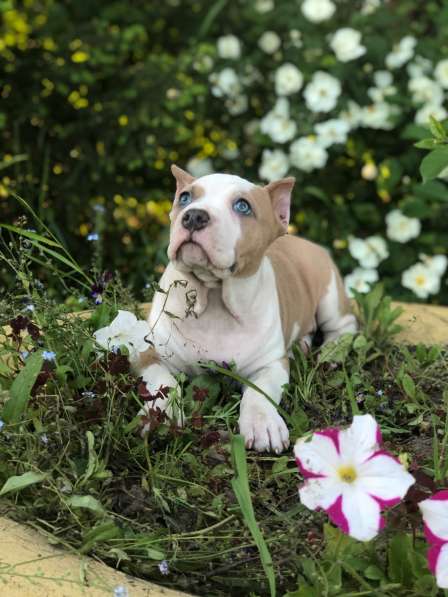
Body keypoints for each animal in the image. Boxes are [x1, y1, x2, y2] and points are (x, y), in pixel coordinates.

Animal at [136, 163, 356, 452]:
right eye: (184, 198)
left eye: (243, 206)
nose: (193, 216)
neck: (214, 299)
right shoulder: (150, 354)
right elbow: (163, 380)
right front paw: (160, 413)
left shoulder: (270, 365)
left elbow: (259, 392)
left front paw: (263, 423)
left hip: (329, 294)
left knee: (345, 325)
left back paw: (331, 351)